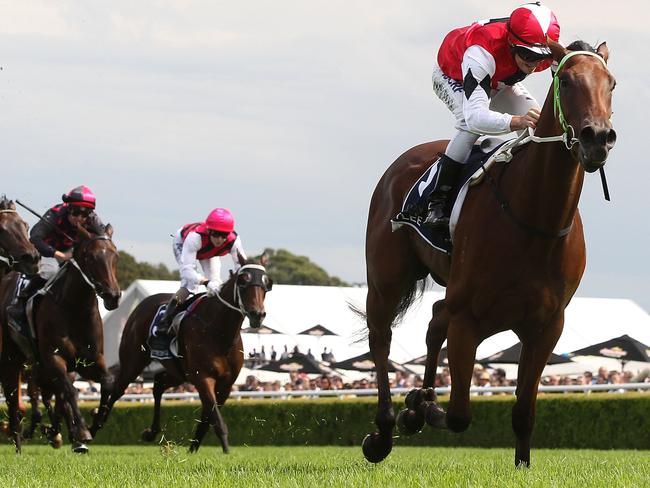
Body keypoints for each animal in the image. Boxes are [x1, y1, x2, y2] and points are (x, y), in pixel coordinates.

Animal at [0, 223, 120, 452]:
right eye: (91, 257)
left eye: (114, 256)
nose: (113, 296)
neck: (75, 309)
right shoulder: (54, 359)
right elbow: (70, 392)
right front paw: (81, 432)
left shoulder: (91, 361)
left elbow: (108, 384)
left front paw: (95, 423)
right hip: (12, 358)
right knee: (13, 398)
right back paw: (19, 439)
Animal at [91, 260, 270, 454]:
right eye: (243, 281)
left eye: (267, 284)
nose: (257, 314)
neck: (219, 332)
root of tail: (141, 305)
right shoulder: (203, 378)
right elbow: (216, 419)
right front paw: (226, 452)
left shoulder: (225, 385)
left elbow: (208, 419)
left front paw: (193, 449)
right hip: (133, 361)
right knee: (117, 389)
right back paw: (94, 427)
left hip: (179, 373)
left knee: (158, 383)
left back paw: (151, 432)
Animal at [362, 40, 616, 468]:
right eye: (565, 80)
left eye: (611, 83)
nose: (597, 137)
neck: (533, 221)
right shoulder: (468, 320)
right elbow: (459, 414)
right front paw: (421, 406)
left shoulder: (546, 327)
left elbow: (524, 412)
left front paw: (522, 465)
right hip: (386, 280)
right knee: (381, 338)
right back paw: (383, 430)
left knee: (434, 319)